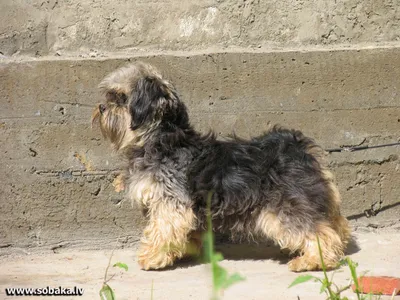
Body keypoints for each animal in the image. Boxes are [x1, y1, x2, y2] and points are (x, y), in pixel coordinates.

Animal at [91, 62, 350, 274]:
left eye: (121, 98)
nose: (101, 107)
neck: (160, 141)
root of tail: (298, 147)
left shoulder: (170, 203)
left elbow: (162, 230)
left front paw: (153, 258)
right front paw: (183, 251)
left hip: (283, 207)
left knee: (320, 233)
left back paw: (312, 261)